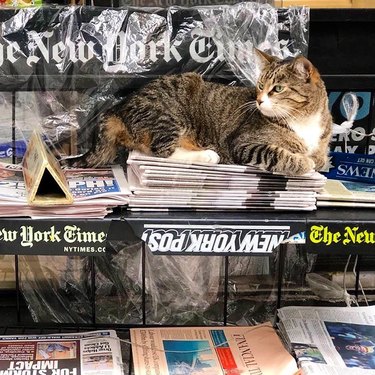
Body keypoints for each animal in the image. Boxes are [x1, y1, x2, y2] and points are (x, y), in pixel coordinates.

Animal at [67, 49, 332, 176]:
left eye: (277, 89)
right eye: (259, 86)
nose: (259, 101)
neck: (304, 120)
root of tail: (118, 107)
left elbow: (321, 158)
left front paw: (315, 159)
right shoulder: (243, 143)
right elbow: (278, 154)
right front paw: (303, 162)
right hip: (167, 117)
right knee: (161, 153)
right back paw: (208, 156)